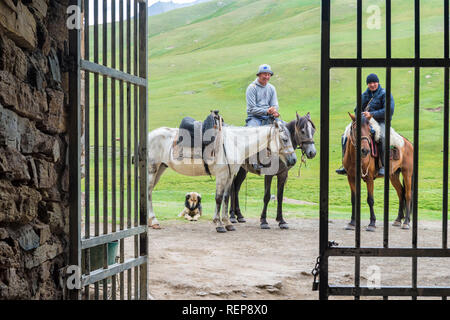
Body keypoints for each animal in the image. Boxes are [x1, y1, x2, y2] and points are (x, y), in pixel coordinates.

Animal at [146, 120, 298, 232]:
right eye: (285, 139)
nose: (293, 160)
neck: (234, 144)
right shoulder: (221, 176)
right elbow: (218, 198)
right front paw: (218, 224)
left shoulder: (229, 176)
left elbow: (226, 197)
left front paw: (228, 223)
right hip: (152, 169)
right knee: (148, 192)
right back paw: (154, 221)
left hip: (160, 168)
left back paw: (150, 222)